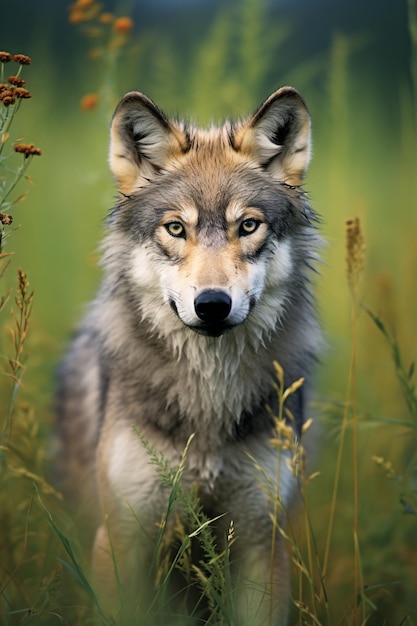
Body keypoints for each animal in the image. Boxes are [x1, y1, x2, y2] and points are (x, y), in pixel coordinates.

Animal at [56, 88, 322, 624]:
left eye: (248, 226)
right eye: (176, 228)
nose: (212, 304)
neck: (208, 398)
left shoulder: (262, 542)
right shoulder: (121, 539)